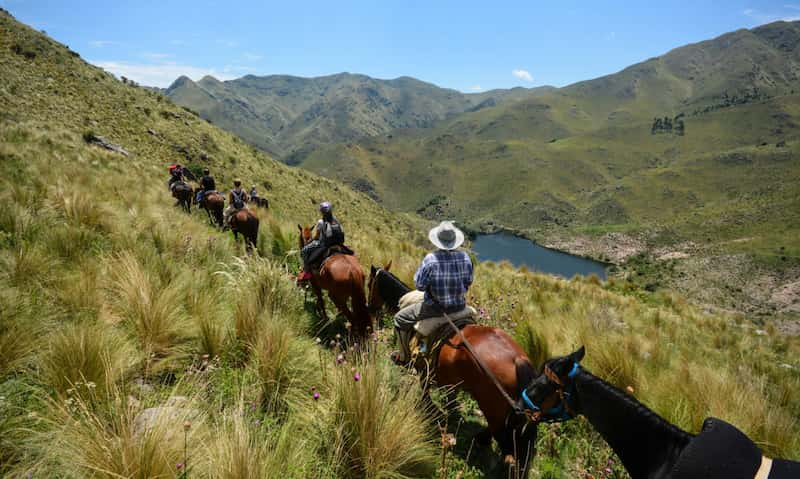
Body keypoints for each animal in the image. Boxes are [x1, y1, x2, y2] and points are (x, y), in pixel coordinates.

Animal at [368, 264, 540, 478]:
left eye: (369, 284)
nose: (369, 308)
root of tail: (518, 360)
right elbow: (449, 398)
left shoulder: (423, 369)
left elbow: (425, 391)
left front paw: (429, 408)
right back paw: (480, 438)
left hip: (493, 410)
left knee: (509, 446)